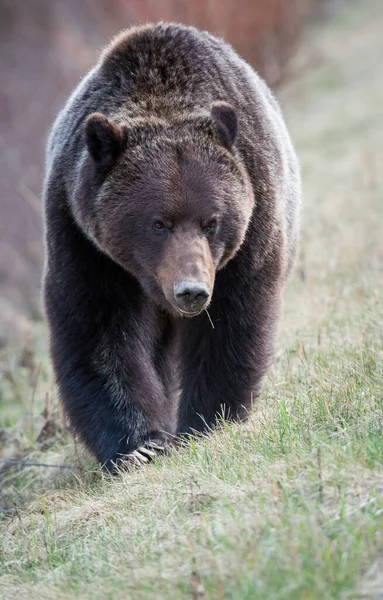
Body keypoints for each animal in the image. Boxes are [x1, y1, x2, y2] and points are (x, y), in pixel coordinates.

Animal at [41, 21, 300, 472]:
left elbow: (231, 324)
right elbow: (98, 334)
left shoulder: (251, 231)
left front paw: (206, 420)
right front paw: (141, 444)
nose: (191, 291)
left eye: (212, 221)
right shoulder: (85, 243)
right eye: (157, 223)